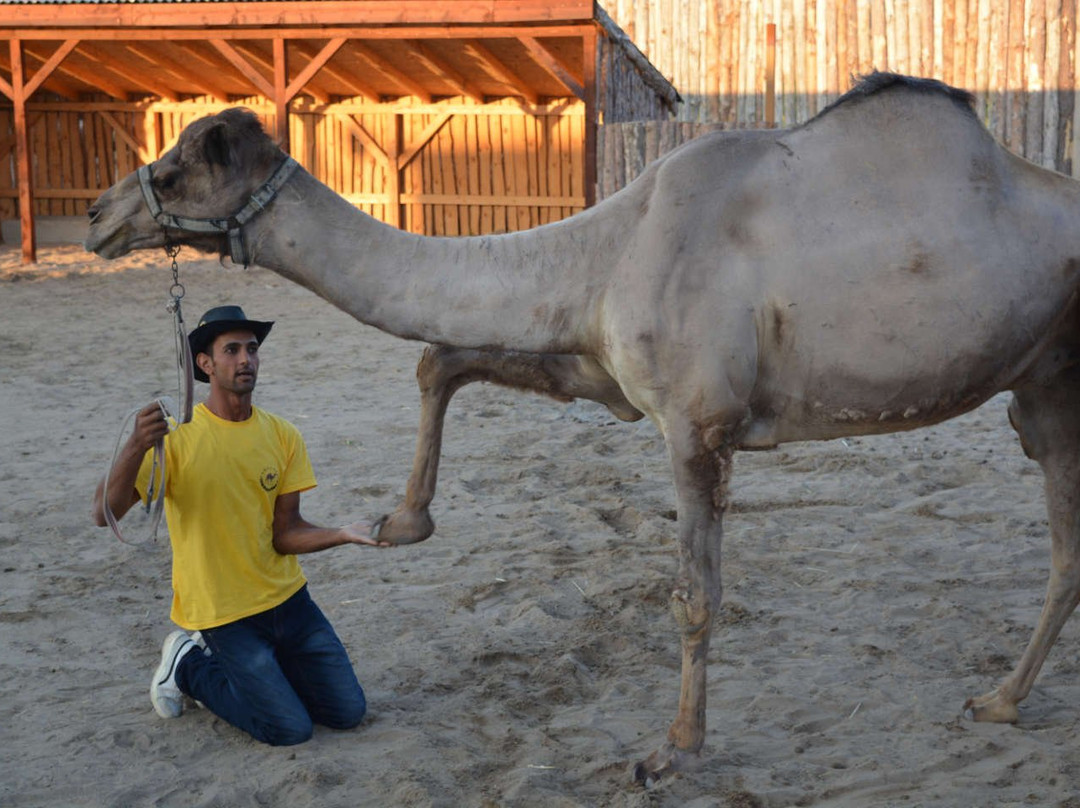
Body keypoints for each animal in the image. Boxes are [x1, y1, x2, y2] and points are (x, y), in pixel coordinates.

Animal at [82, 73, 1080, 782]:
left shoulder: (696, 426)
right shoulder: (599, 369)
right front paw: (403, 522)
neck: (612, 245)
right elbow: (443, 358)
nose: (96, 213)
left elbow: (694, 596)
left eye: (175, 167)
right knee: (1066, 545)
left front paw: (672, 752)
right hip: (1042, 392)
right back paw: (999, 701)